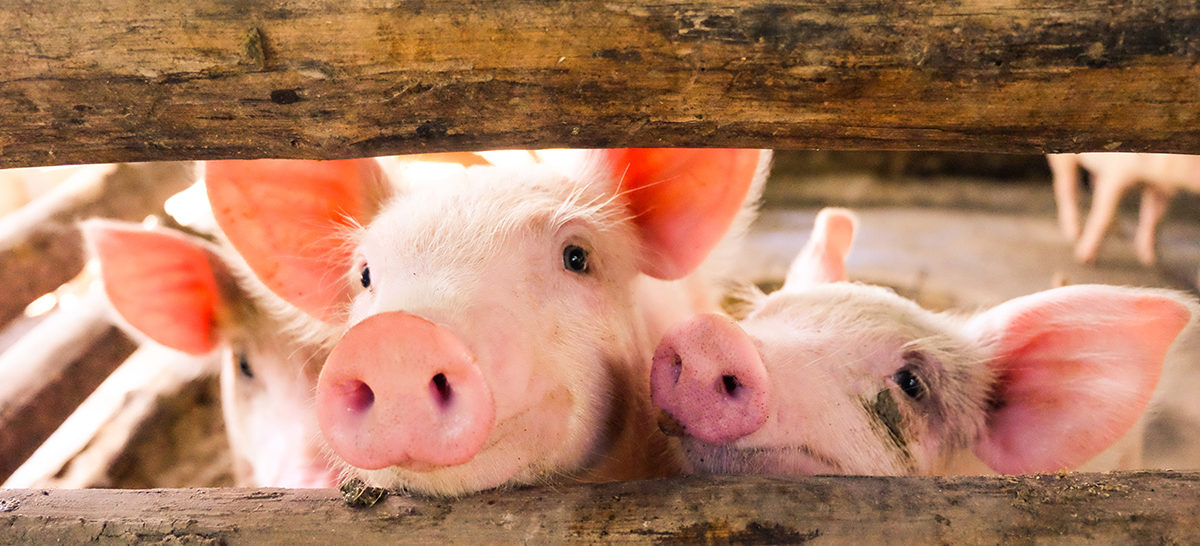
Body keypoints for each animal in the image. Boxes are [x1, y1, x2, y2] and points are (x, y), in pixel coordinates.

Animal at [1046, 151, 1200, 267]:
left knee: (1094, 180)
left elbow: (1154, 219)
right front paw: (1085, 259)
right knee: (1066, 186)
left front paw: (1151, 260)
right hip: (1064, 159)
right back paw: (1074, 233)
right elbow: (1103, 214)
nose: (1153, 259)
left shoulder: (1159, 187)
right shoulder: (1116, 174)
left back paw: (1119, 231)